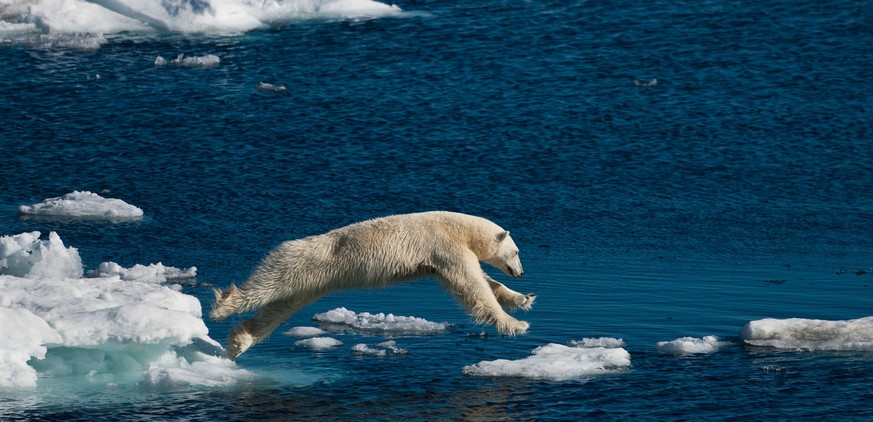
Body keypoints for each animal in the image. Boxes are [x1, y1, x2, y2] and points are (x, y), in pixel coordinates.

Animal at [213, 210, 540, 356]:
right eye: (516, 252)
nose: (522, 272)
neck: (459, 227)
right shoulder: (446, 246)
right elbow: (472, 286)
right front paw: (515, 324)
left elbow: (482, 281)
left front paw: (523, 298)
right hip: (299, 264)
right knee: (268, 286)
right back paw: (222, 306)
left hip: (312, 282)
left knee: (280, 308)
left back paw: (240, 342)